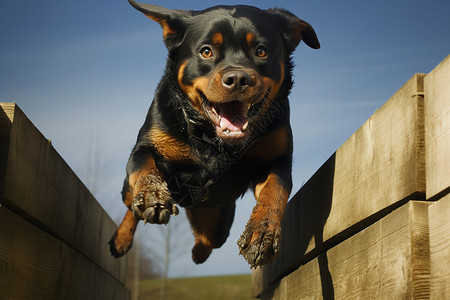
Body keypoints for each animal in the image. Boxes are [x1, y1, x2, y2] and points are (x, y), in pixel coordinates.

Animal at [110, 0, 320, 268]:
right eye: (206, 51)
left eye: (261, 51)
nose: (238, 78)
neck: (213, 140)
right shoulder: (146, 147)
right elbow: (144, 168)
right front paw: (152, 195)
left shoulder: (277, 158)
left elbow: (275, 190)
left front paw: (262, 232)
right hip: (129, 191)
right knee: (130, 206)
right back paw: (121, 239)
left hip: (218, 217)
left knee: (208, 239)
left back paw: (198, 253)